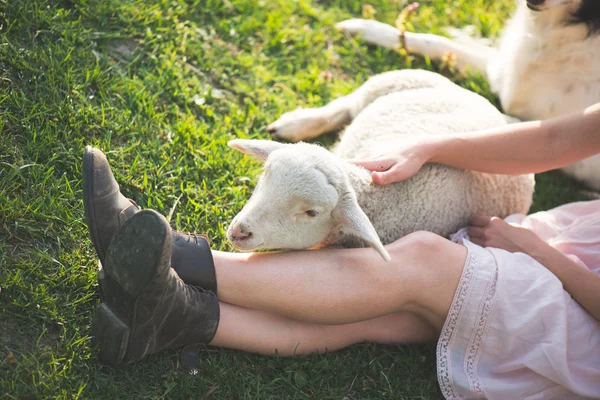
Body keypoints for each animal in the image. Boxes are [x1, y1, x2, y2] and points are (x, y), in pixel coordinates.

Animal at [226, 70, 536, 260]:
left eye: (311, 213)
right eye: (265, 176)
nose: (240, 231)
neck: (378, 196)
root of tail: (495, 113)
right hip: (390, 81)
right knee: (346, 104)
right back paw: (294, 124)